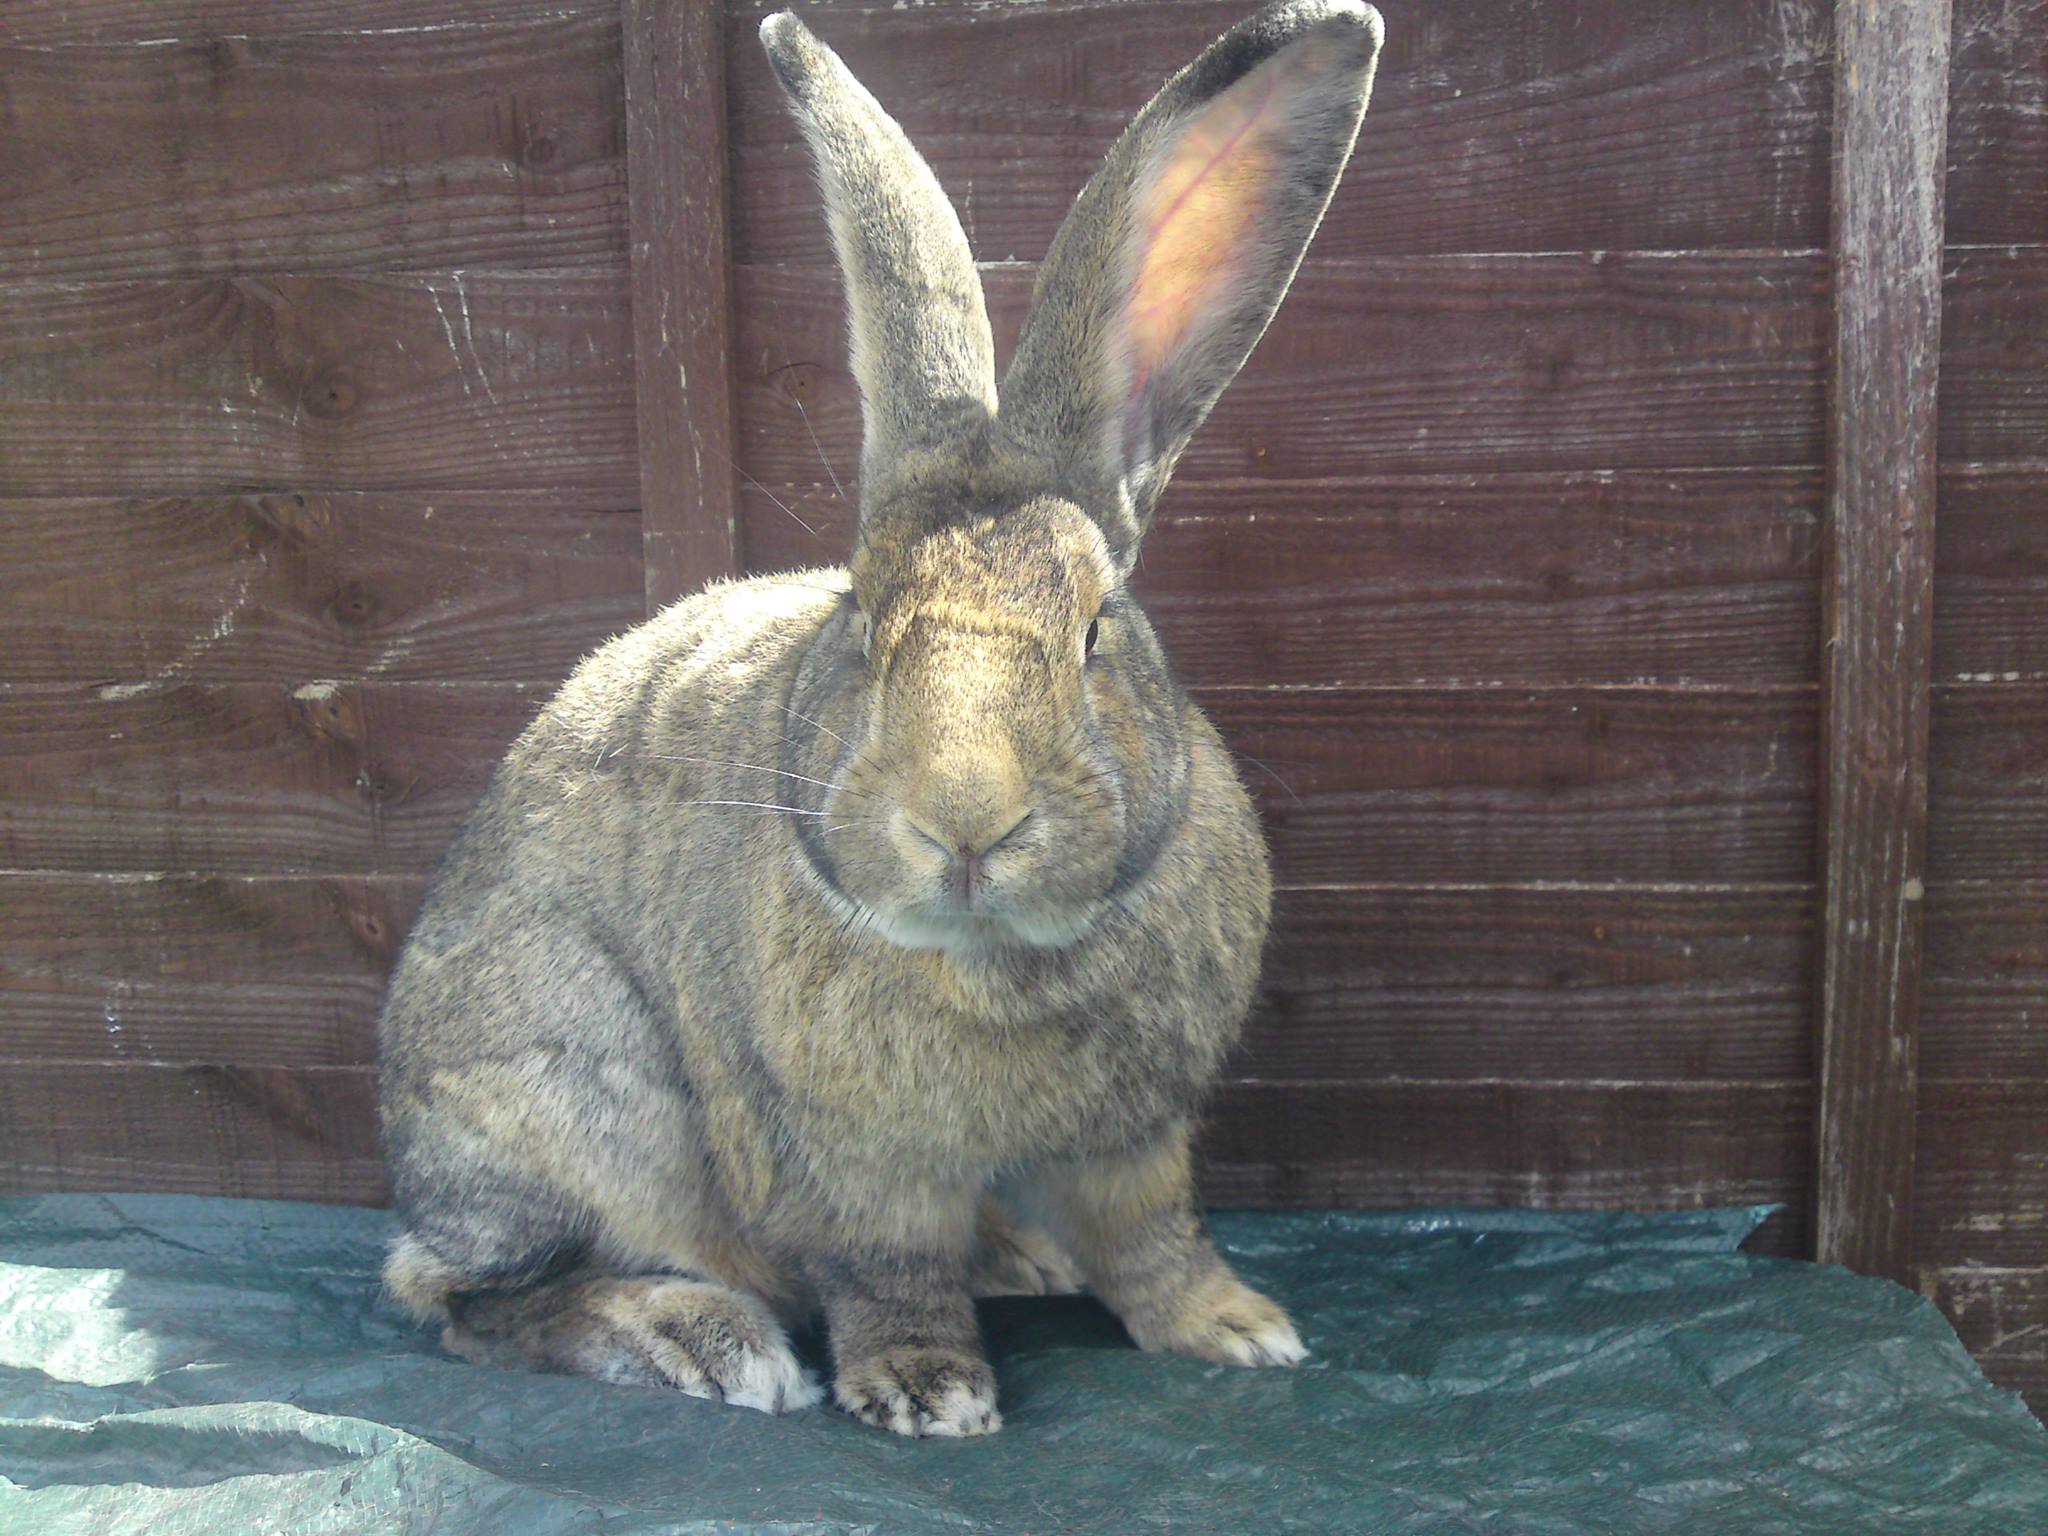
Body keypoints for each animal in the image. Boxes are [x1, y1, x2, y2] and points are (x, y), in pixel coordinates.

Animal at [377, 0, 1383, 1438]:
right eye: (861, 617)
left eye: (1096, 627)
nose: (963, 823)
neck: (997, 955)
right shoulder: (848, 1168)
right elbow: (884, 1272)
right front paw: (928, 1392)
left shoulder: (1136, 1143)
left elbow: (1151, 1240)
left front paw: (1238, 1330)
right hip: (566, 1098)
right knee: (467, 1301)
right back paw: (706, 1343)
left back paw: (1013, 1259)